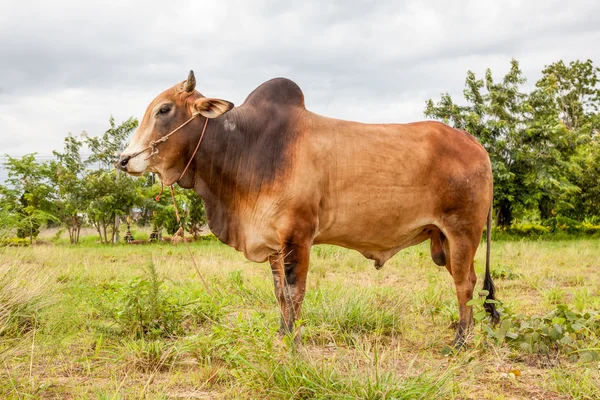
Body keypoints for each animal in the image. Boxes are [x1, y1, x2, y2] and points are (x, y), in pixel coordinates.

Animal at [119, 72, 500, 346]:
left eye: (164, 110)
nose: (124, 159)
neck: (247, 145)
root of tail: (476, 145)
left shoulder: (298, 236)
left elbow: (293, 292)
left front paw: (293, 341)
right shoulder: (273, 242)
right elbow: (278, 294)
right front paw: (280, 334)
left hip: (463, 233)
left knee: (465, 283)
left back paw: (461, 341)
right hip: (444, 241)